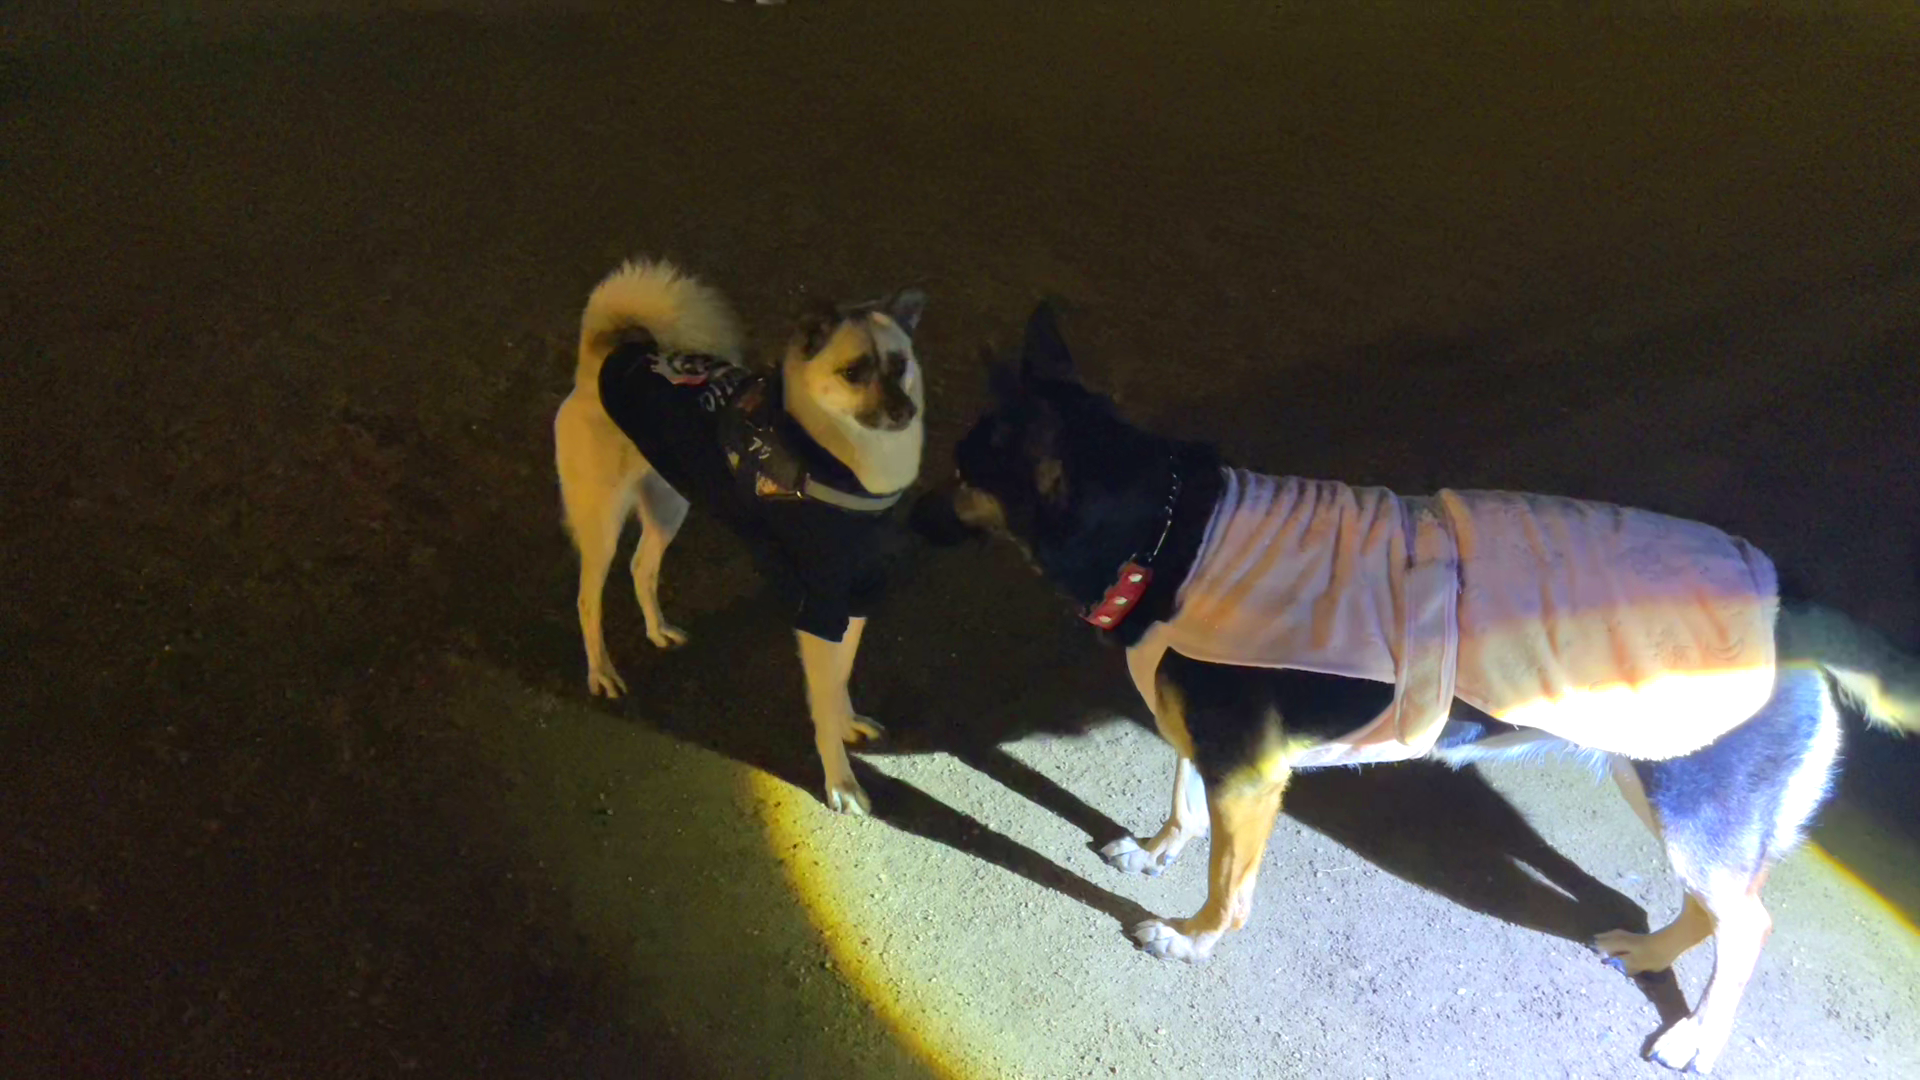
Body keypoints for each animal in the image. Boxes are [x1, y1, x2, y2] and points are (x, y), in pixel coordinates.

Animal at [555, 258, 927, 814]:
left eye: (900, 364)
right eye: (853, 372)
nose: (904, 412)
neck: (842, 465)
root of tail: (600, 357)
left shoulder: (857, 598)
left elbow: (839, 679)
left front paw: (846, 722)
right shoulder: (818, 610)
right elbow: (821, 699)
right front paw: (840, 780)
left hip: (672, 501)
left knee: (642, 566)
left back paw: (657, 630)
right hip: (601, 520)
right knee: (587, 598)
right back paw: (601, 672)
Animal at [916, 300, 1920, 1073]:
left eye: (962, 475)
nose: (901, 514)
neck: (1168, 533)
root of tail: (1791, 598)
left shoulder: (1248, 777)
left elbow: (1228, 887)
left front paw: (1193, 937)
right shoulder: (1211, 751)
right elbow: (1182, 802)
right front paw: (1161, 847)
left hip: (1694, 808)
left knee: (1748, 925)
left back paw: (1697, 1041)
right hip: (1663, 784)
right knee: (1714, 906)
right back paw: (1649, 952)